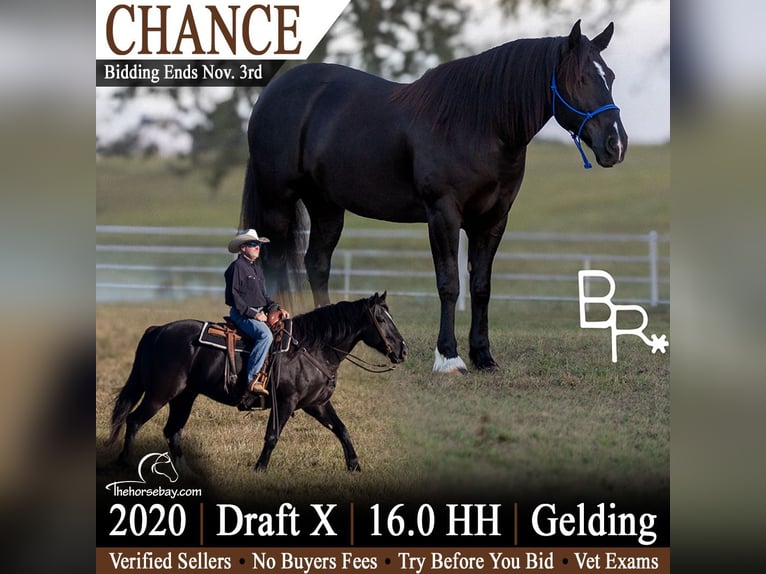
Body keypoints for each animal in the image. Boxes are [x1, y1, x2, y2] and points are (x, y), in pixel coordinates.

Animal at [107, 292, 407, 473]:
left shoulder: (317, 403)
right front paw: (259, 469)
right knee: (134, 420)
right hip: (160, 393)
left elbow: (342, 430)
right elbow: (272, 435)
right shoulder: (285, 402)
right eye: (381, 319)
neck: (311, 348)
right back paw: (123, 463)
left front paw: (354, 465)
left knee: (173, 431)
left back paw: (185, 471)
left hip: (184, 396)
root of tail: (157, 330)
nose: (403, 350)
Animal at [239, 20, 627, 373]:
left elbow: (481, 286)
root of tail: (271, 93)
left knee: (317, 263)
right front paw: (449, 358)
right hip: (278, 200)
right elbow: (449, 284)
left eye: (609, 76)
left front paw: (483, 357)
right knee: (273, 263)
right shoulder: (443, 214)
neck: (479, 124)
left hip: (326, 205)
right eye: (580, 79)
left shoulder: (493, 219)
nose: (616, 144)